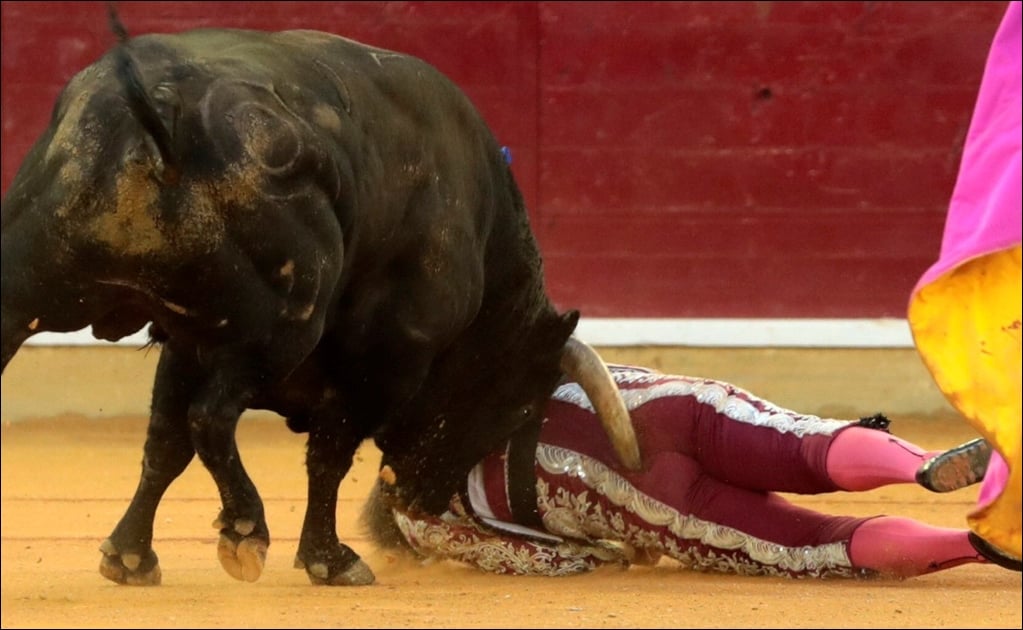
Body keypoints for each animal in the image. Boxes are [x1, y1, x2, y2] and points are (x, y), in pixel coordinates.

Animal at [0, 24, 638, 585]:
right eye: (518, 407)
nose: (420, 500)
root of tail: (162, 109)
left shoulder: (186, 341)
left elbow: (165, 445)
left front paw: (130, 556)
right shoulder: (383, 361)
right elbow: (327, 456)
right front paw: (329, 560)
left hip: (25, 294)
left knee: (191, 422)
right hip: (281, 330)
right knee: (215, 417)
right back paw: (247, 528)